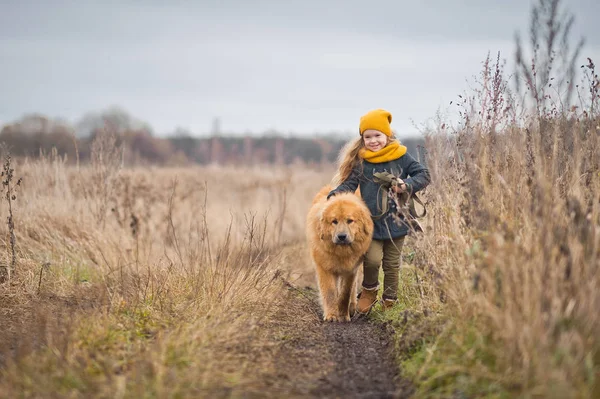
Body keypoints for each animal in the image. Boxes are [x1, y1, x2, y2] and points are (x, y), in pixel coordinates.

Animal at [308, 187, 372, 322]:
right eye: (334, 222)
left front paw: (343, 315)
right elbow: (330, 293)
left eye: (350, 221)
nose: (342, 236)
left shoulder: (350, 269)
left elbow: (345, 293)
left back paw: (352, 307)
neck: (340, 252)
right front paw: (331, 315)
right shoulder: (324, 267)